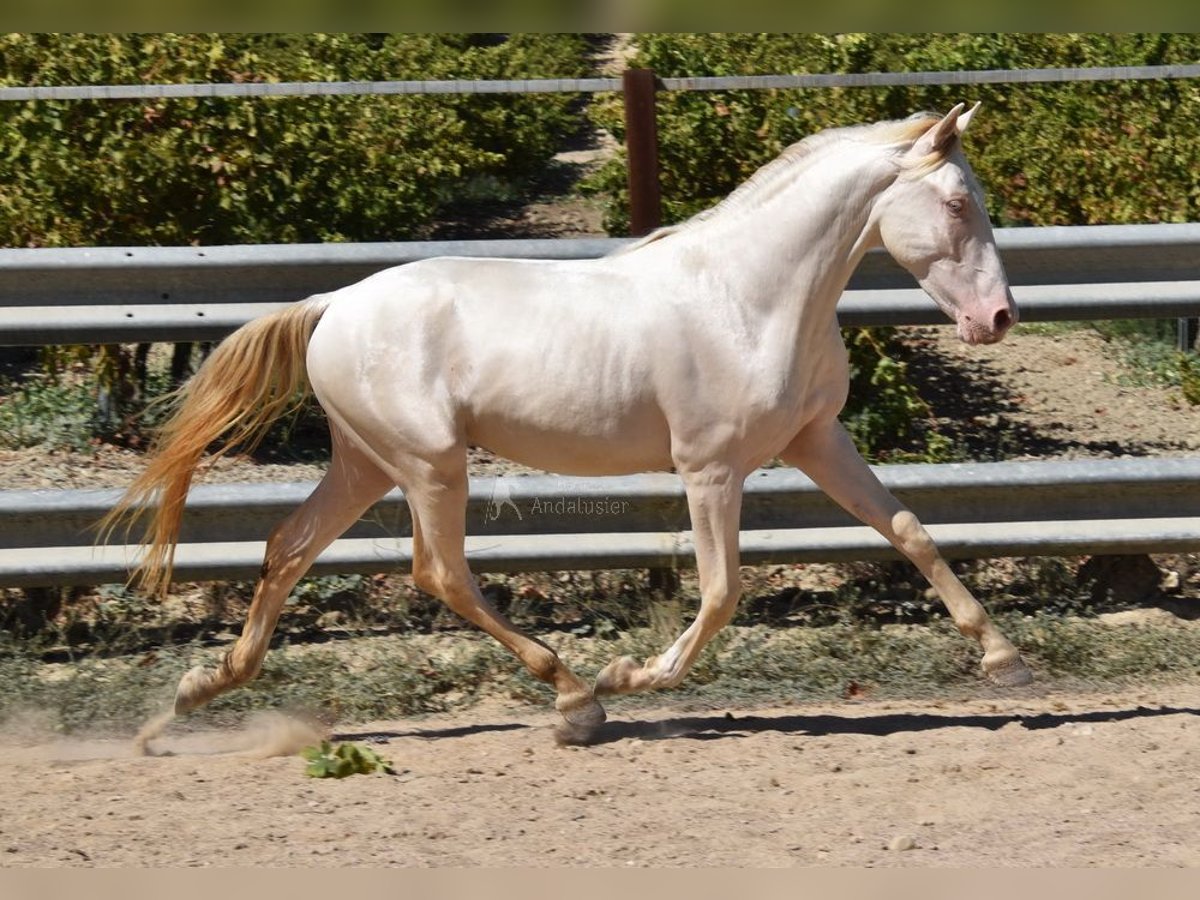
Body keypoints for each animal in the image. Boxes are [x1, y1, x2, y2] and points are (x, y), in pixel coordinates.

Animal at [105, 102, 1032, 744]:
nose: (996, 319)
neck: (746, 297)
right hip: (430, 464)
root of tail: (333, 302)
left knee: (288, 547)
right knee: (440, 574)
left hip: (366, 463)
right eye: (957, 202)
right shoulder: (710, 470)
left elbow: (909, 529)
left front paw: (1004, 658)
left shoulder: (816, 442)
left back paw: (188, 699)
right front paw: (631, 676)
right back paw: (577, 698)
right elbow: (722, 590)